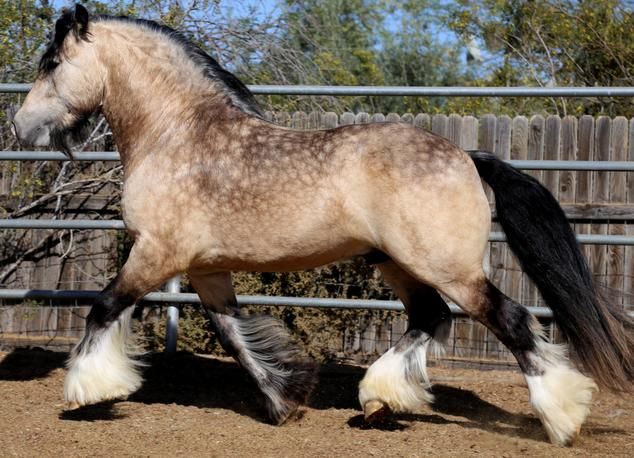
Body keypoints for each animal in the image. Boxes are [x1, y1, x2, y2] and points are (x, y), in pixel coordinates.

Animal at [12, 5, 628, 446]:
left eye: (52, 64)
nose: (21, 126)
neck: (179, 135)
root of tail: (466, 156)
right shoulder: (206, 271)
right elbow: (234, 335)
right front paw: (284, 402)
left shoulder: (156, 254)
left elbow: (103, 306)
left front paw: (86, 392)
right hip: (397, 263)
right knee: (428, 318)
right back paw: (379, 401)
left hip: (448, 268)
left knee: (511, 320)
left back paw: (562, 418)